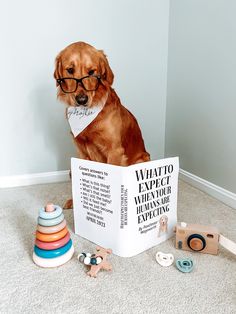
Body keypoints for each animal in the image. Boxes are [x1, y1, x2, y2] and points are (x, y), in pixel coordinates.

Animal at [54, 41, 149, 209]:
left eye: (92, 72)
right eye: (70, 70)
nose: (82, 100)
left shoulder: (115, 151)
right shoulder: (81, 151)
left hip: (142, 160)